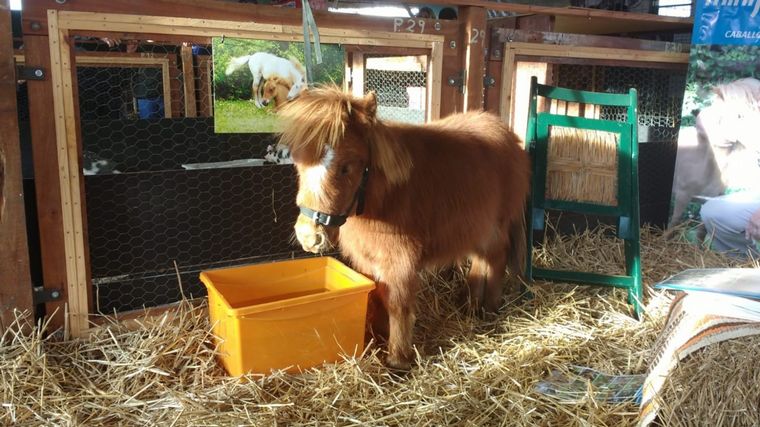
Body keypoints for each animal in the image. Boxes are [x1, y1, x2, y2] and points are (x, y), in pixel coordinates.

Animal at [277, 86, 531, 370]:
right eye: (299, 163)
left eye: (346, 167)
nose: (309, 236)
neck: (384, 198)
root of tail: (508, 136)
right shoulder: (369, 259)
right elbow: (377, 295)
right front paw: (376, 339)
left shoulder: (400, 261)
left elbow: (397, 304)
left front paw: (398, 359)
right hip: (476, 228)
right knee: (480, 261)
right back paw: (470, 304)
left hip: (495, 228)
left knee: (495, 260)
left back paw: (489, 308)